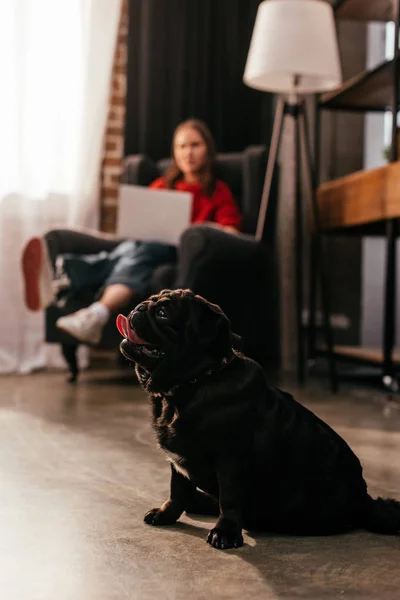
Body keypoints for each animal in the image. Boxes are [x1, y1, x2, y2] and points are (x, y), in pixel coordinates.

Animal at [117, 290, 400, 548]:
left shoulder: (230, 460)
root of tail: (363, 501)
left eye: (163, 313)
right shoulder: (178, 464)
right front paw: (166, 514)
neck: (194, 383)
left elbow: (229, 500)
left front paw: (226, 532)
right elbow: (177, 491)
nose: (138, 307)